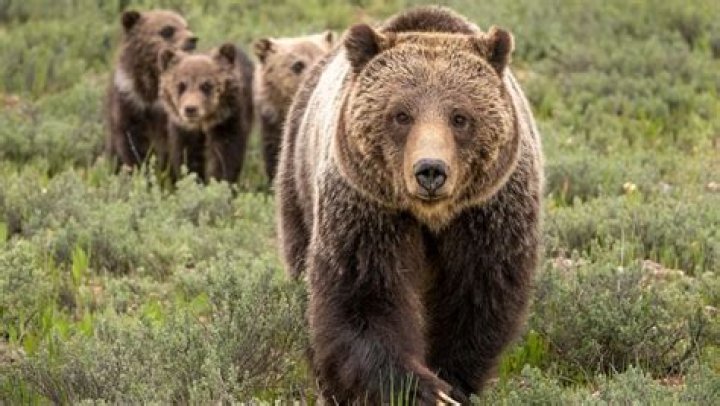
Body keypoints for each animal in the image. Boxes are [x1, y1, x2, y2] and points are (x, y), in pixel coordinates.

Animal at [158, 43, 254, 184]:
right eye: (181, 86)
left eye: (206, 85)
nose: (190, 109)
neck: (203, 124)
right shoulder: (183, 129)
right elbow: (187, 157)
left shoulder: (227, 121)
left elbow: (225, 156)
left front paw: (220, 181)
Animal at [275, 6, 543, 405]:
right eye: (401, 115)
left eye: (460, 117)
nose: (430, 170)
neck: (431, 217)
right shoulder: (368, 210)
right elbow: (364, 297)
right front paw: (422, 389)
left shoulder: (487, 213)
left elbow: (477, 297)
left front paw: (452, 382)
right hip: (297, 179)